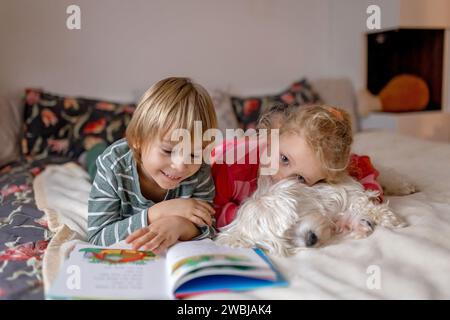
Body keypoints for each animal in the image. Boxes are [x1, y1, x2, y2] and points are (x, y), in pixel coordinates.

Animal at [214, 174, 408, 256]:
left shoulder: (341, 190)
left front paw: (389, 218)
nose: (310, 240)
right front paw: (357, 224)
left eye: (293, 221)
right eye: (286, 241)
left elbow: (362, 201)